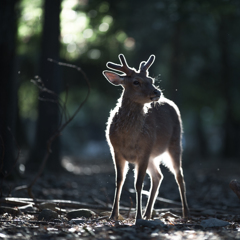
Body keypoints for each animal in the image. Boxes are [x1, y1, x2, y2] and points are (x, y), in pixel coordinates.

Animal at [102, 53, 190, 220]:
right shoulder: (115, 150)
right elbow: (119, 181)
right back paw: (148, 213)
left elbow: (138, 183)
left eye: (151, 80)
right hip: (153, 156)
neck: (128, 138)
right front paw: (113, 215)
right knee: (158, 176)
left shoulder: (144, 150)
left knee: (179, 175)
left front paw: (137, 217)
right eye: (136, 81)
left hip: (175, 143)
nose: (157, 92)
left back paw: (185, 213)